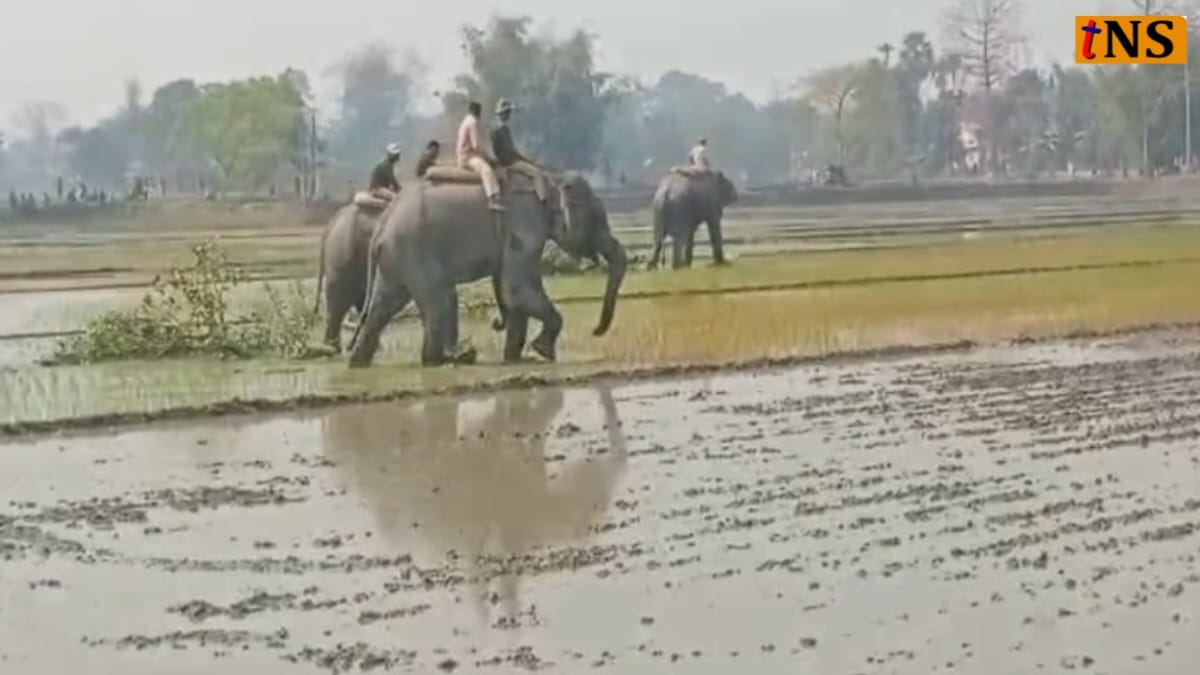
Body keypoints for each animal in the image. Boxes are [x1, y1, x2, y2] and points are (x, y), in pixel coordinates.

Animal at [346, 168, 627, 368]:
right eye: (596, 219)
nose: (595, 331)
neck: (549, 177)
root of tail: (382, 223)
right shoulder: (525, 225)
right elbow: (516, 288)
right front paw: (543, 351)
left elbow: (513, 291)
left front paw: (514, 359)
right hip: (412, 249)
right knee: (439, 301)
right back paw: (444, 360)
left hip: (395, 258)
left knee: (385, 304)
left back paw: (359, 364)